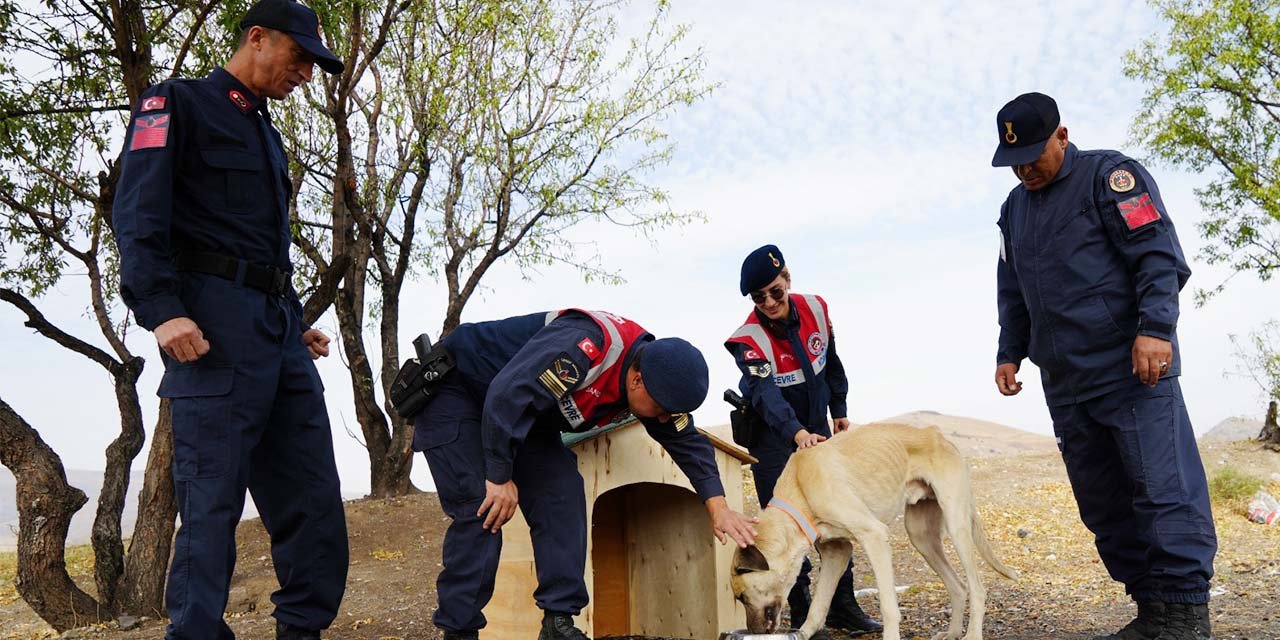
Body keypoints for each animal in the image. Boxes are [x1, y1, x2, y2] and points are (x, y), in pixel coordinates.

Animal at [732, 422, 1018, 637]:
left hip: (956, 526)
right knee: (958, 586)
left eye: (742, 597)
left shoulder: (874, 536)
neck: (800, 488)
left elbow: (888, 607)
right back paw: (953, 633)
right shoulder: (837, 551)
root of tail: (938, 435)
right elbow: (818, 608)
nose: (754, 632)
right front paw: (803, 634)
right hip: (921, 537)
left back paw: (972, 634)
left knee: (977, 588)